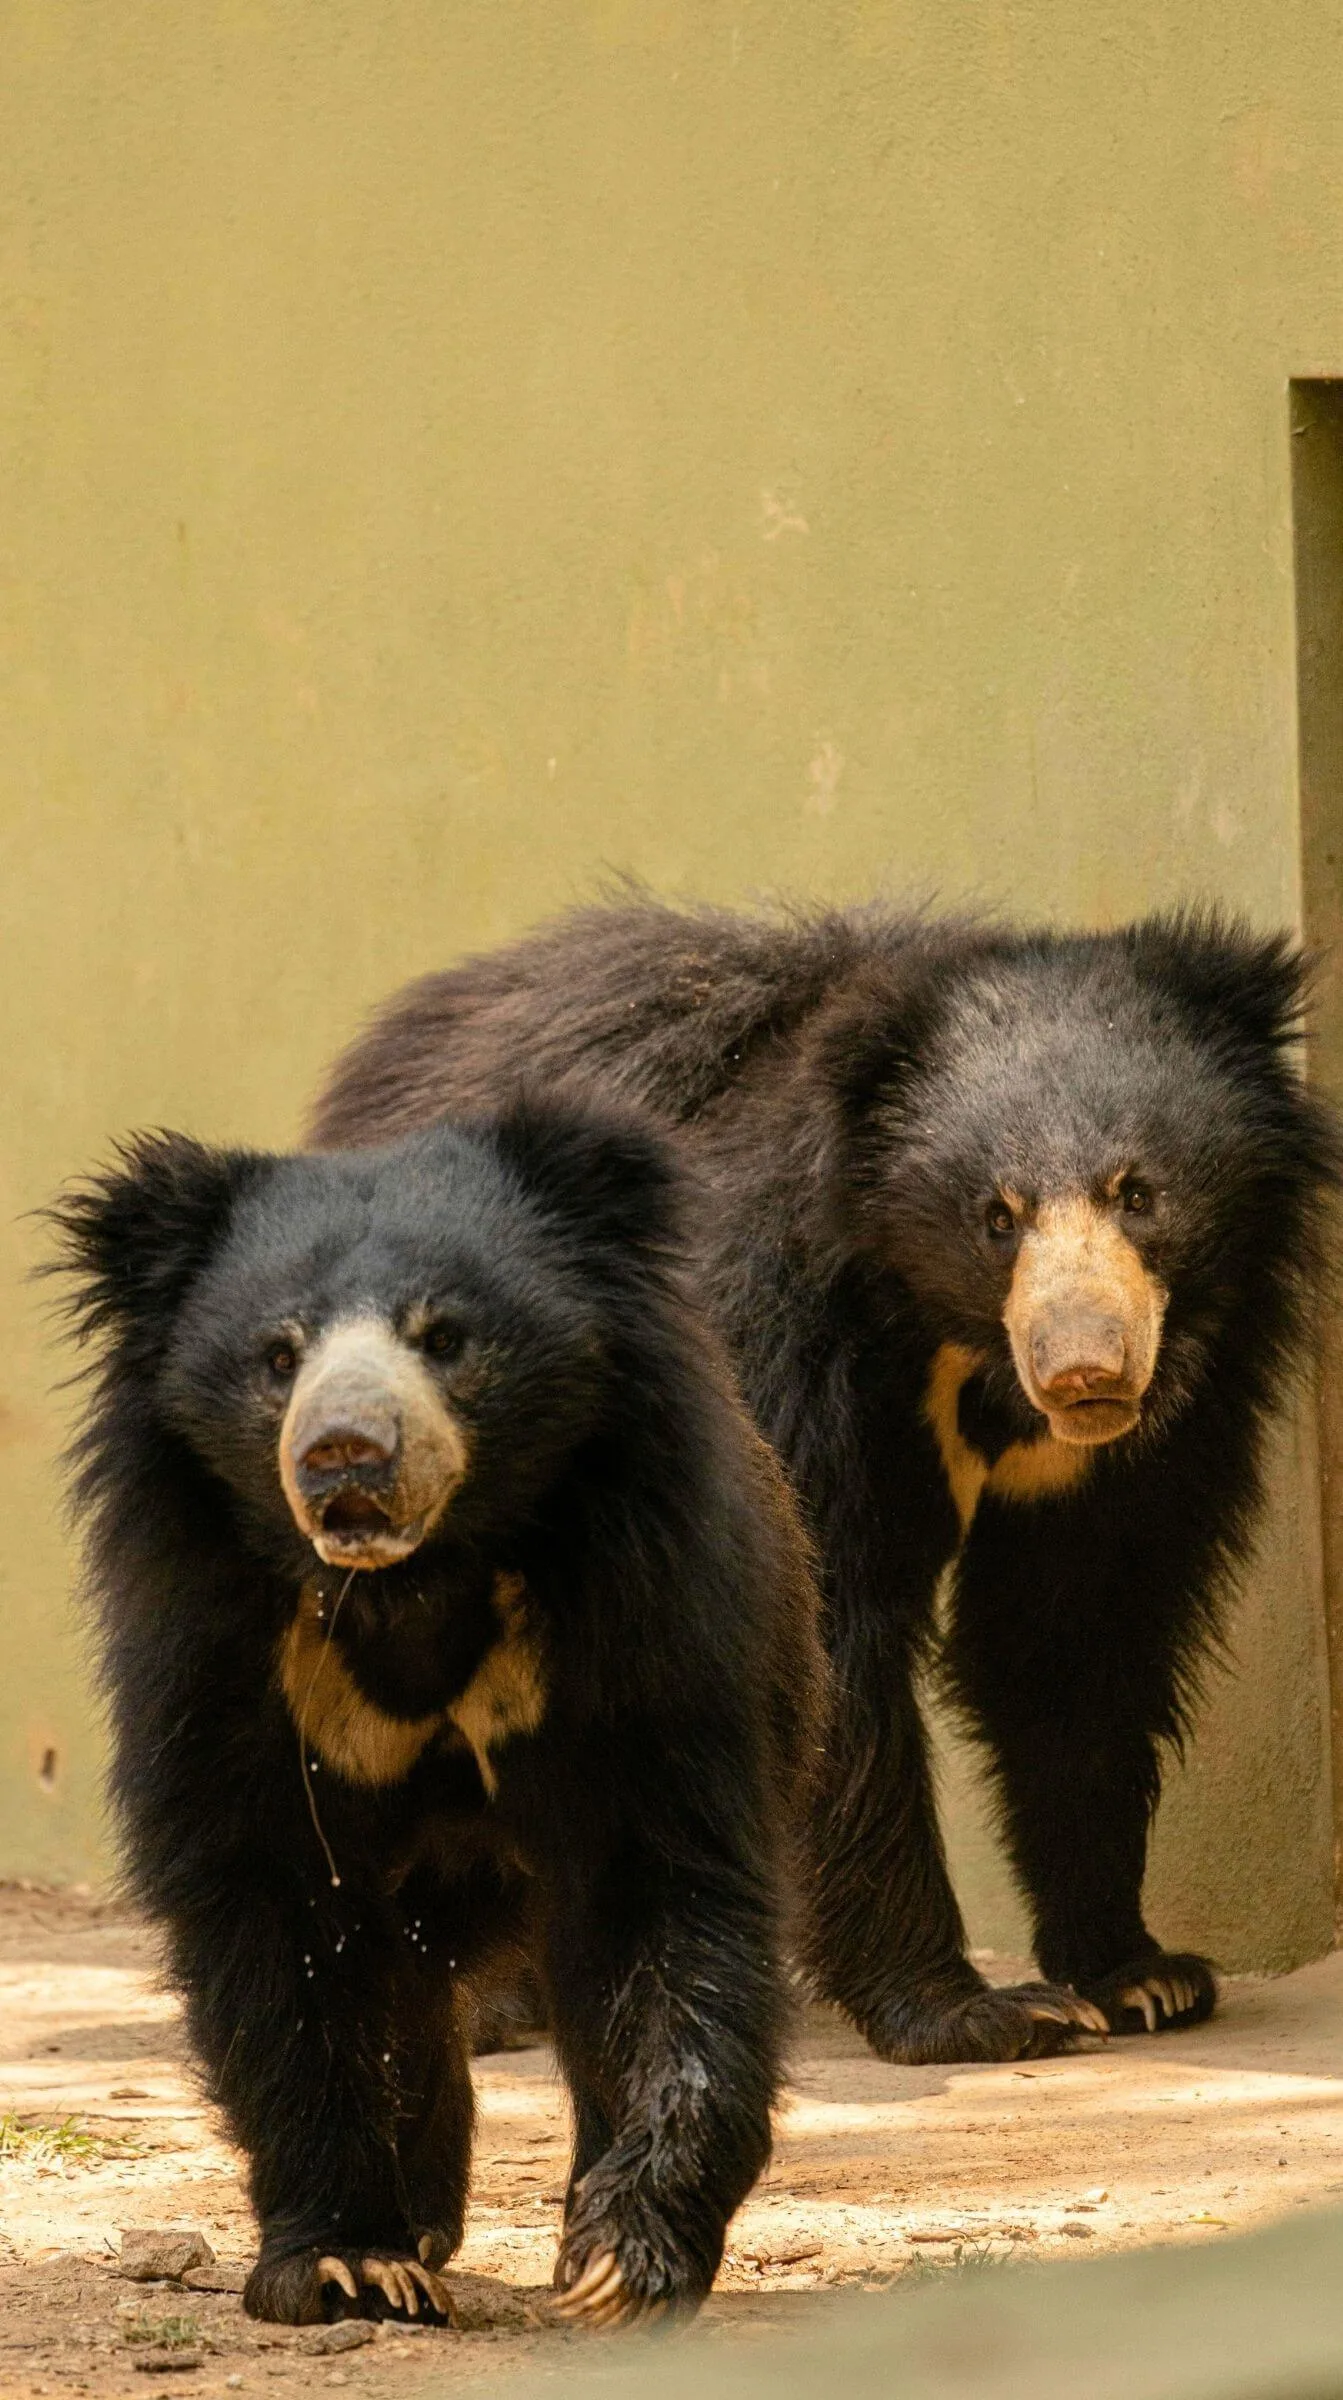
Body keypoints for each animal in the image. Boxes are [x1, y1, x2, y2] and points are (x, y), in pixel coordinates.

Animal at [51, 1094, 825, 2324]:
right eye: (278, 1355)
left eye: (445, 1336)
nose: (345, 1455)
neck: (411, 1585)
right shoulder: (219, 1660)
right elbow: (277, 1933)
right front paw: (346, 2260)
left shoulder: (650, 1627)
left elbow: (665, 1896)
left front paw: (621, 2258)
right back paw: (419, 2218)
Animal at [310, 896, 1341, 2067]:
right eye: (996, 1215)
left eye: (1136, 1192)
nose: (1086, 1372)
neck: (950, 1340)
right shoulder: (775, 1343)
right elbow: (819, 1630)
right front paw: (977, 2011)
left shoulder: (1160, 1425)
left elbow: (1076, 1639)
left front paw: (1138, 1975)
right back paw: (479, 2000)